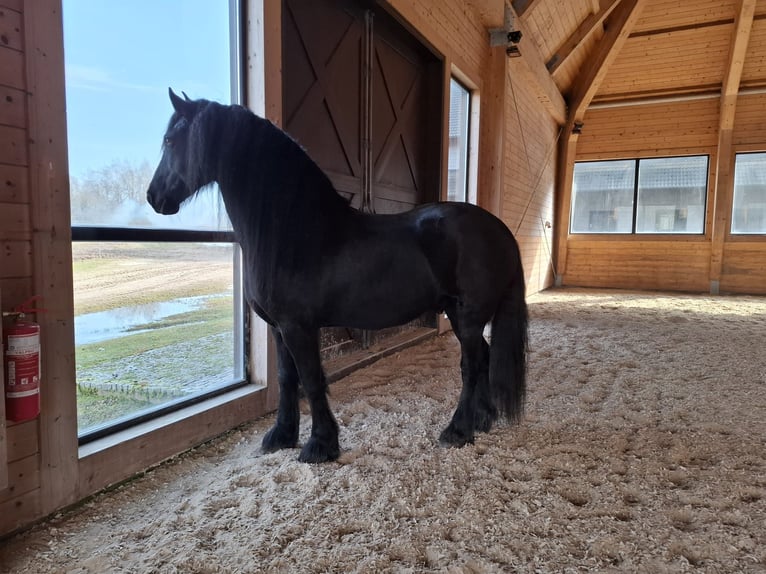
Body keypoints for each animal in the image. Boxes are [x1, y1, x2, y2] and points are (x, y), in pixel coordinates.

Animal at [147, 88, 528, 463]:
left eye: (170, 140)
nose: (154, 197)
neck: (295, 231)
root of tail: (499, 229)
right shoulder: (279, 328)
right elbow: (287, 377)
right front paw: (282, 436)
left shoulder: (299, 327)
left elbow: (312, 379)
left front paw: (320, 445)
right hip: (457, 312)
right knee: (484, 356)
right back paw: (482, 420)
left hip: (469, 314)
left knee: (472, 365)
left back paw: (458, 431)